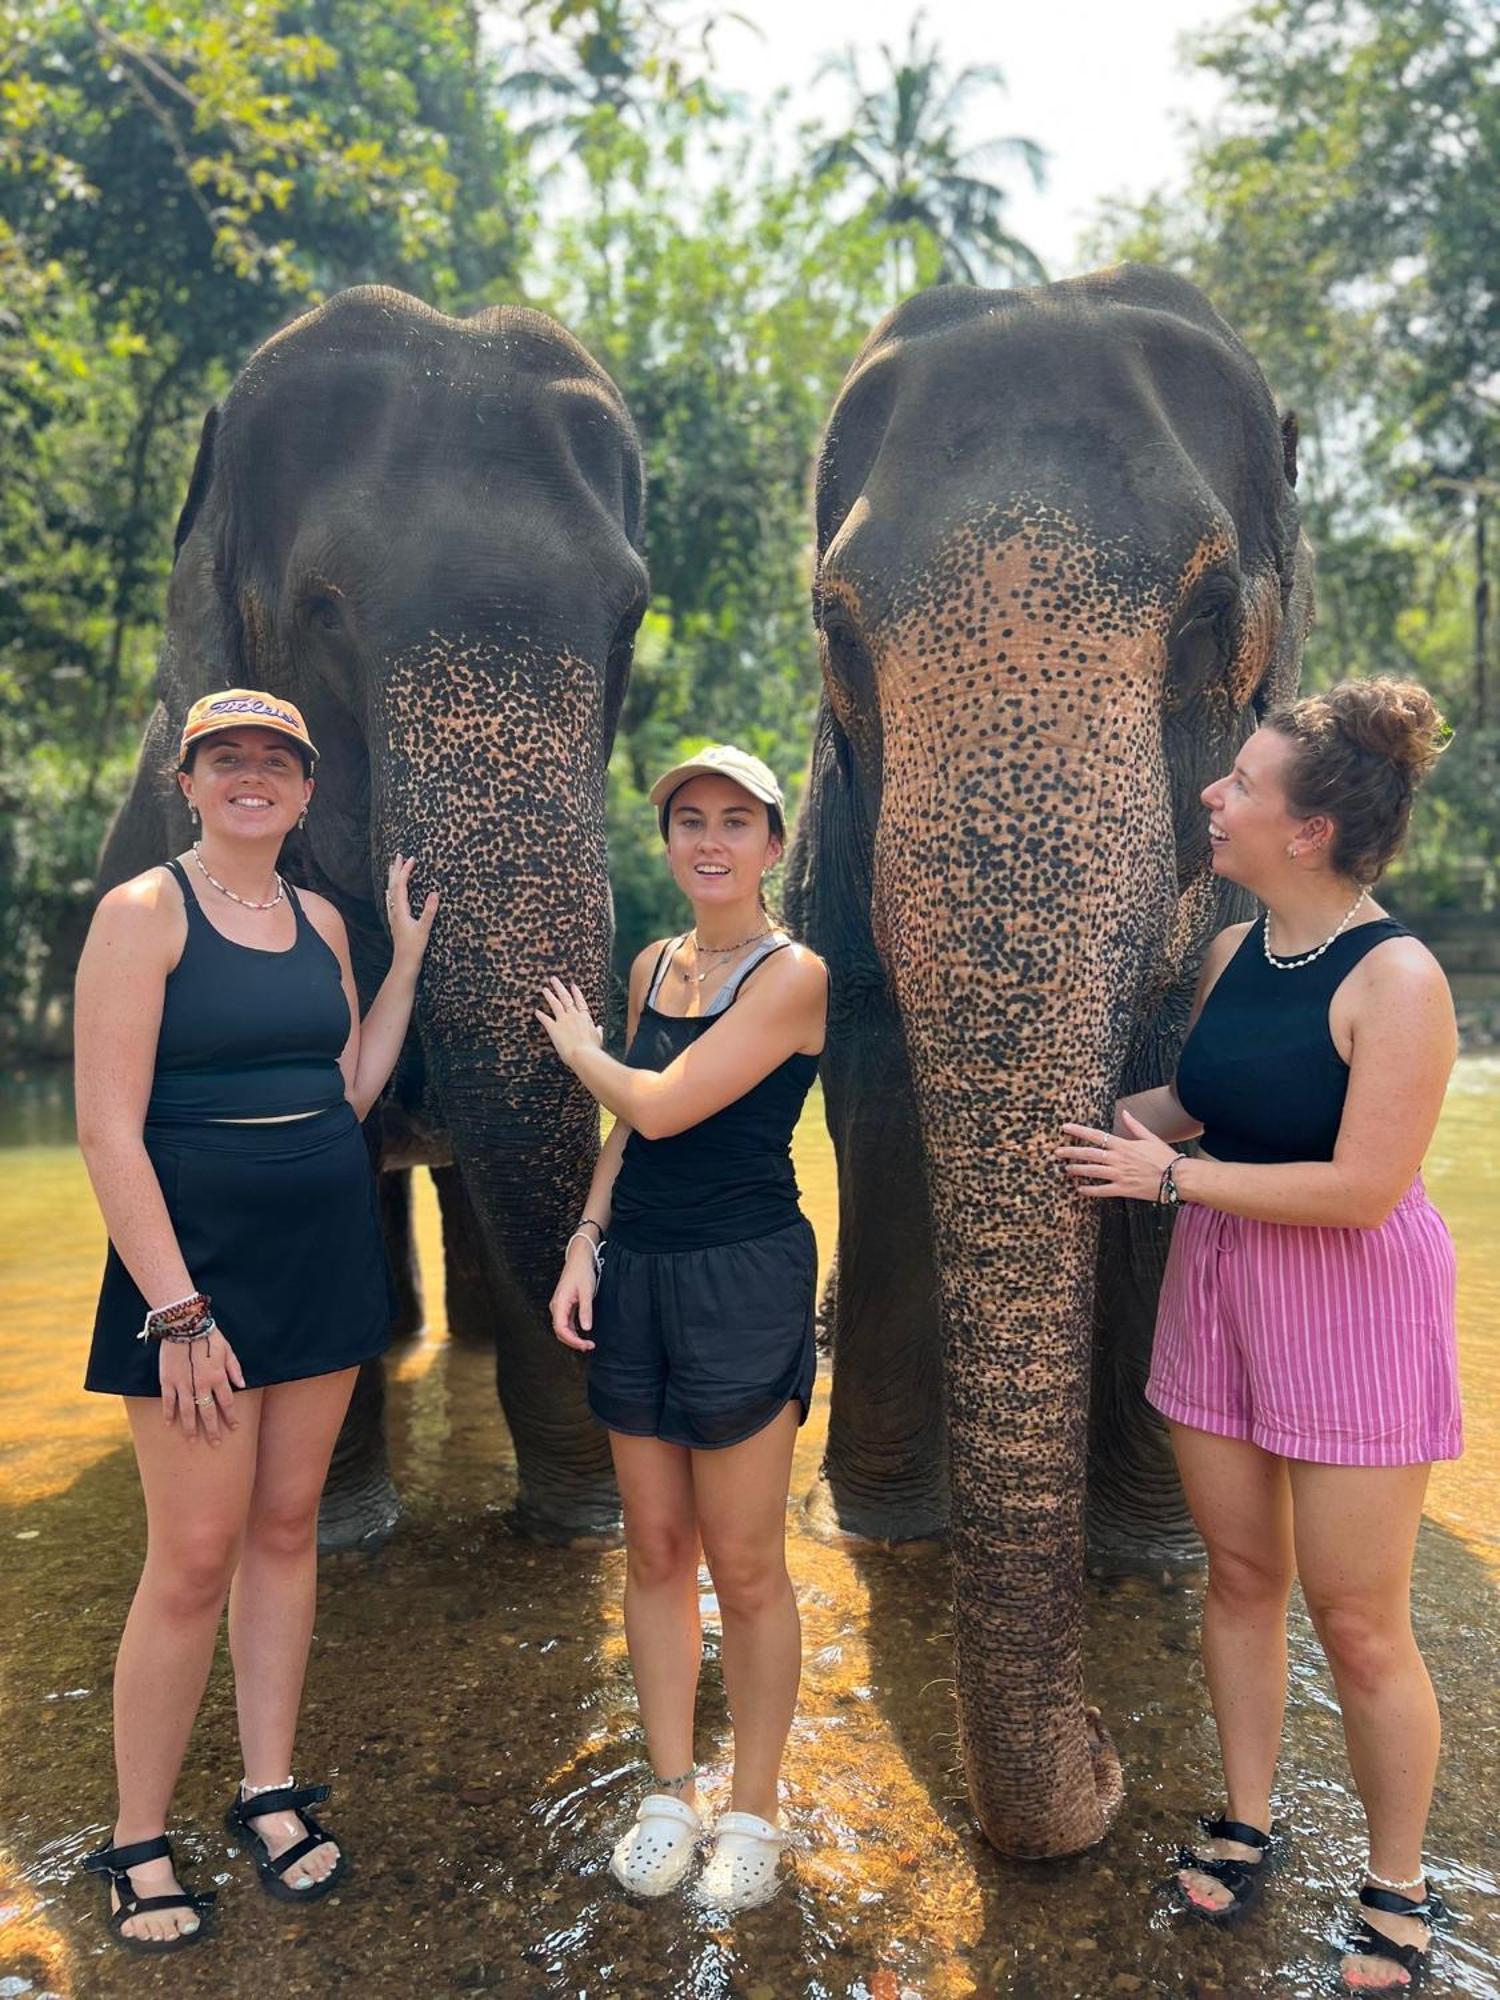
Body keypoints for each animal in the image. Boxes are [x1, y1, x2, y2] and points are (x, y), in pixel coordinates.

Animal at [788, 266, 1312, 1856]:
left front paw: (1154, 1555)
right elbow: (870, 1065)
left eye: (1214, 619)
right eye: (835, 631)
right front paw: (885, 1529)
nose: (1105, 1762)